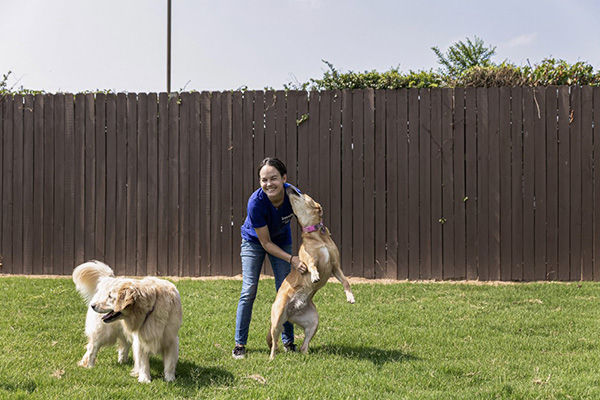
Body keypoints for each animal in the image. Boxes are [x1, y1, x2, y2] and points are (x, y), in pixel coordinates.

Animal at [268, 186, 356, 360]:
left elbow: (346, 281)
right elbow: (312, 265)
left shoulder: (336, 266)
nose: (288, 187)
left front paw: (350, 297)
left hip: (313, 321)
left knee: (304, 345)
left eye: (302, 193)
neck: (316, 235)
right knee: (274, 342)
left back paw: (307, 355)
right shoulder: (307, 259)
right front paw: (315, 276)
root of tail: (290, 313)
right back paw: (272, 358)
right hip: (277, 316)